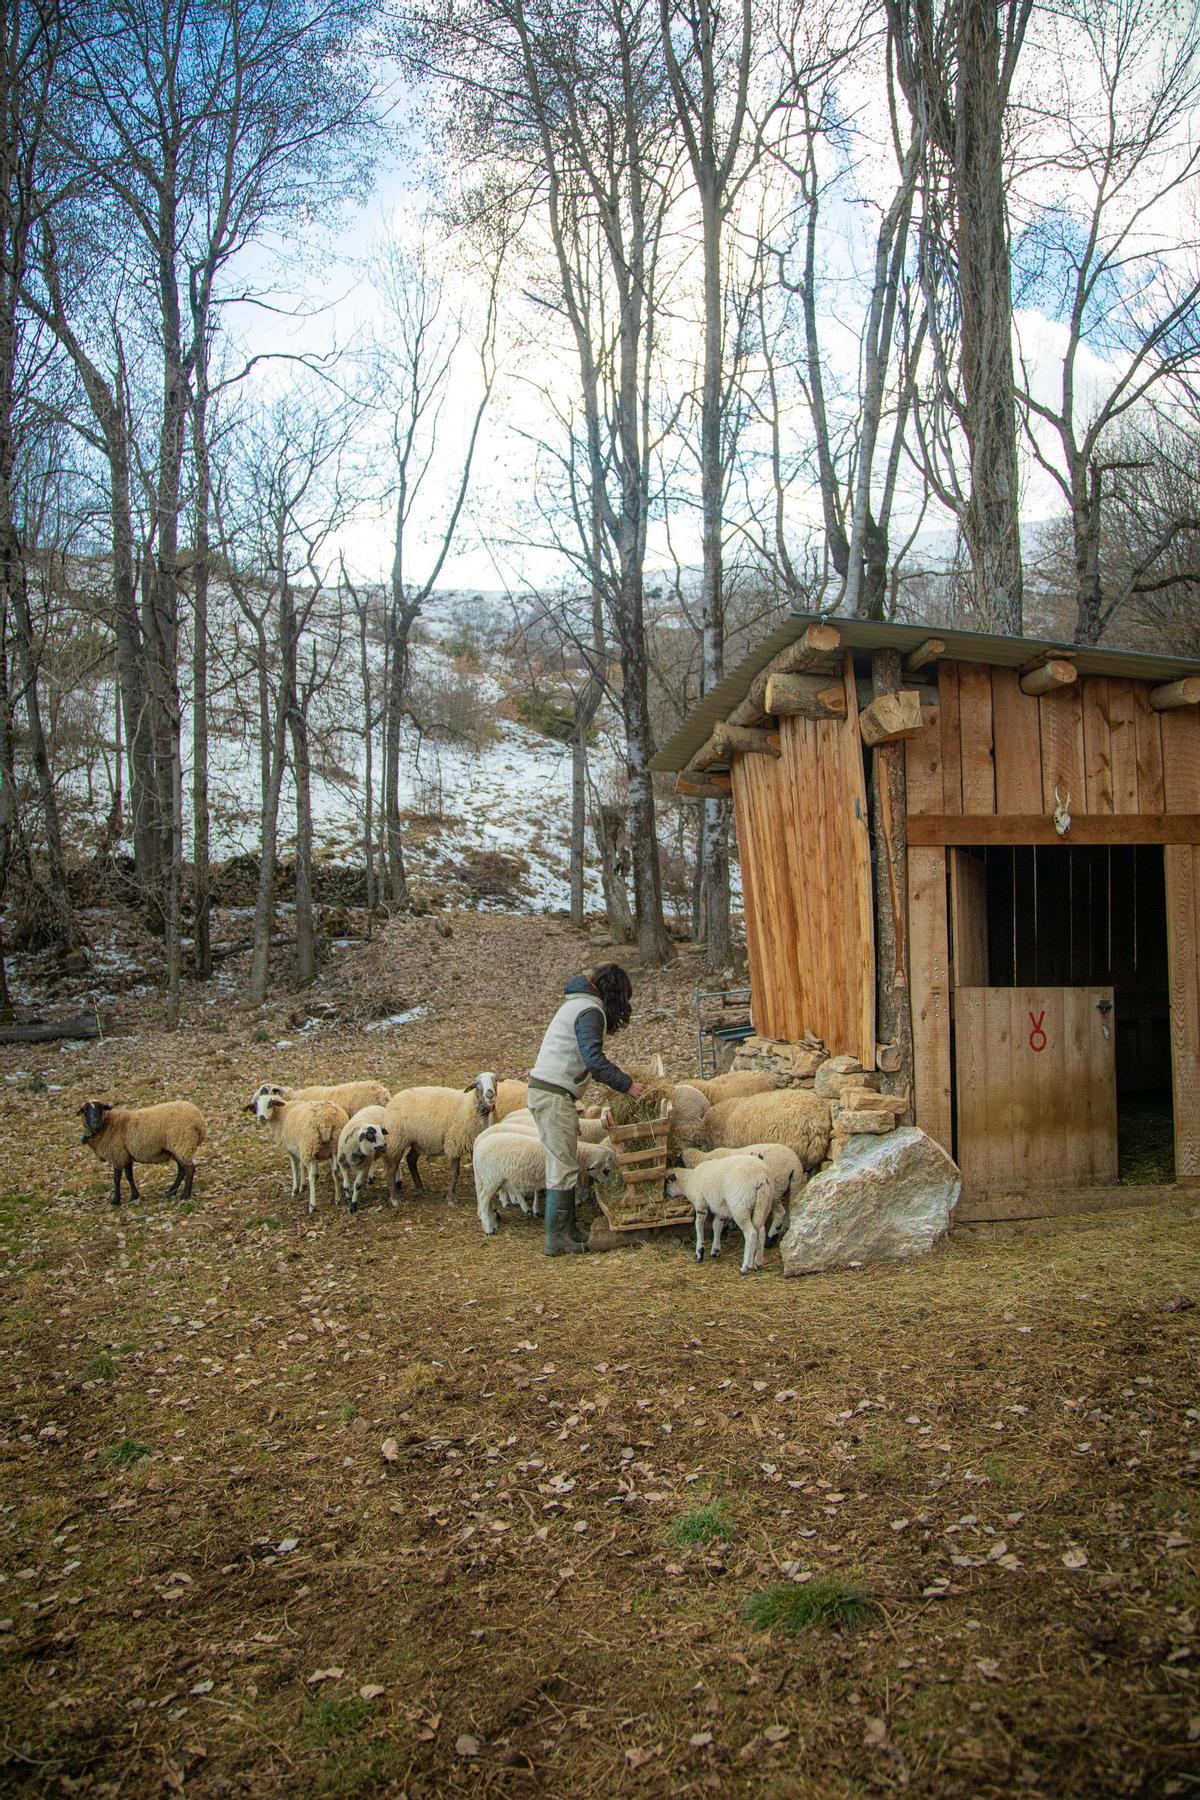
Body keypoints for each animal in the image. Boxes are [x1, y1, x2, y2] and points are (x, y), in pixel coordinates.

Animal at [383, 1072, 498, 1204]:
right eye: (477, 1083)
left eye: (495, 1079)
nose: (489, 1095)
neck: (470, 1105)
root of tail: (392, 1100)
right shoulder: (455, 1141)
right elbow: (455, 1172)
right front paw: (451, 1198)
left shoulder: (474, 1142)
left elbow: (475, 1170)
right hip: (397, 1139)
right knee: (391, 1169)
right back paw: (394, 1199)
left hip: (418, 1140)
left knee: (410, 1159)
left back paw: (420, 1188)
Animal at [473, 1126, 617, 1236]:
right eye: (606, 1171)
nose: (610, 1186)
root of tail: (478, 1147)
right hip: (492, 1178)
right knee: (484, 1200)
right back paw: (489, 1228)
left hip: (488, 1179)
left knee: (487, 1200)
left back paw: (493, 1222)